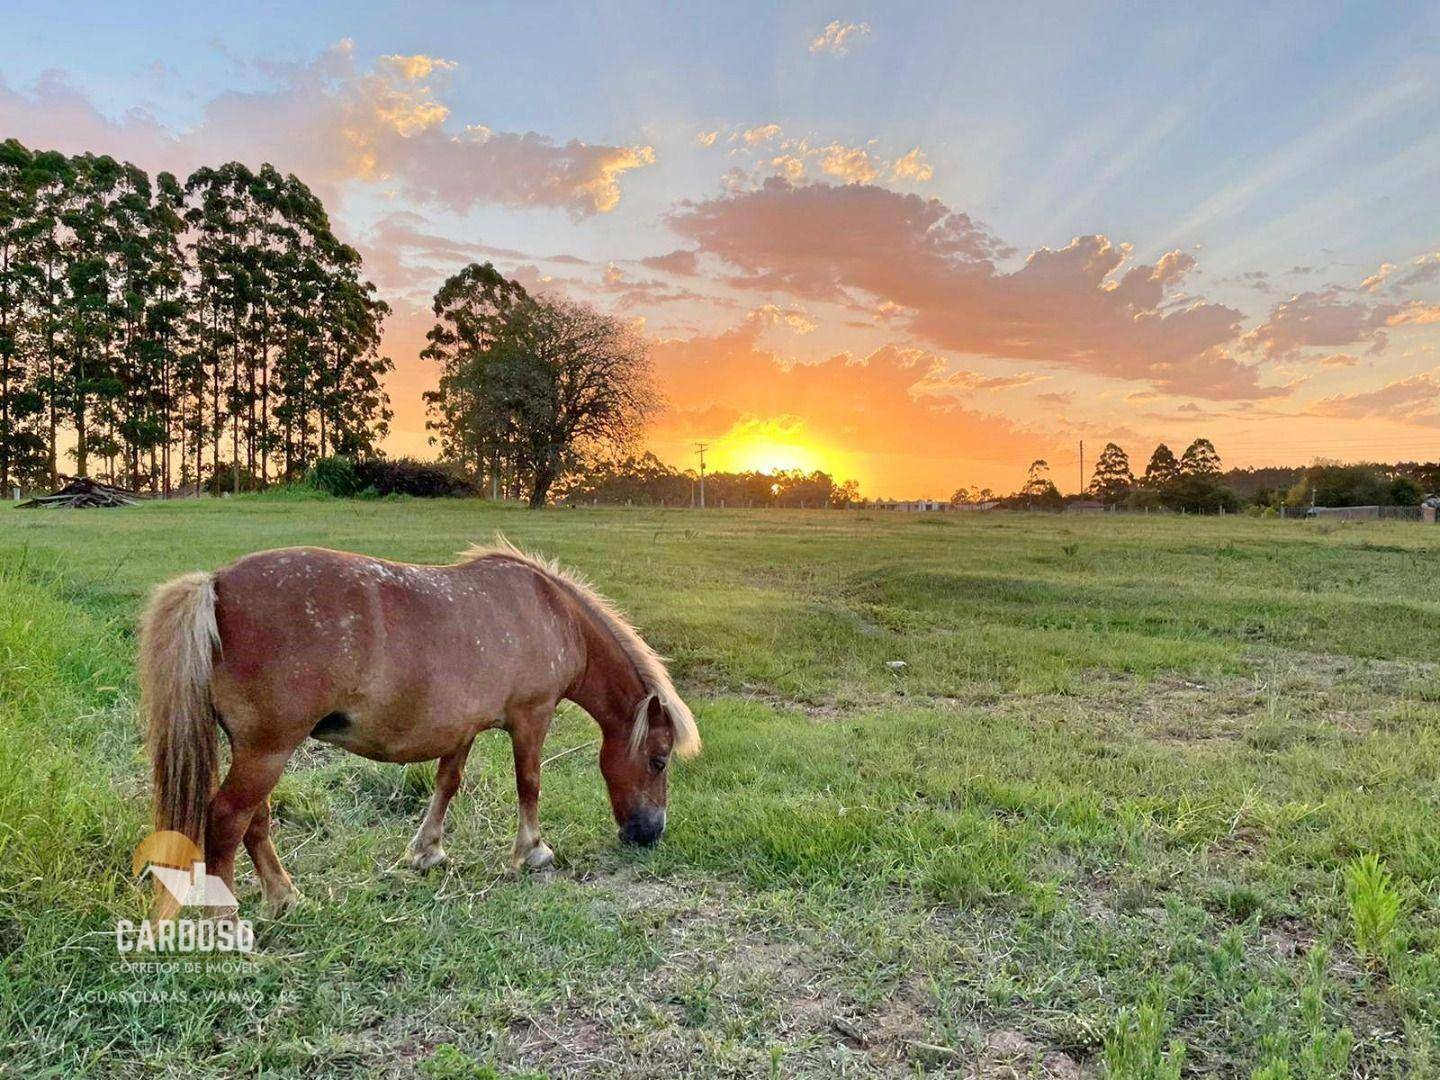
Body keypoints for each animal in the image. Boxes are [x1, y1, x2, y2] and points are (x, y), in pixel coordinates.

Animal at [137, 544, 699, 915]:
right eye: (658, 759)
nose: (650, 833)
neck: (551, 613)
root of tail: (216, 586)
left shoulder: (462, 730)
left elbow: (447, 784)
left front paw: (427, 852)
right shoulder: (532, 717)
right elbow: (529, 784)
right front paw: (532, 851)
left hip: (258, 752)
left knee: (254, 820)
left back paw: (284, 895)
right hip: (266, 751)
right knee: (227, 819)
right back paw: (227, 917)